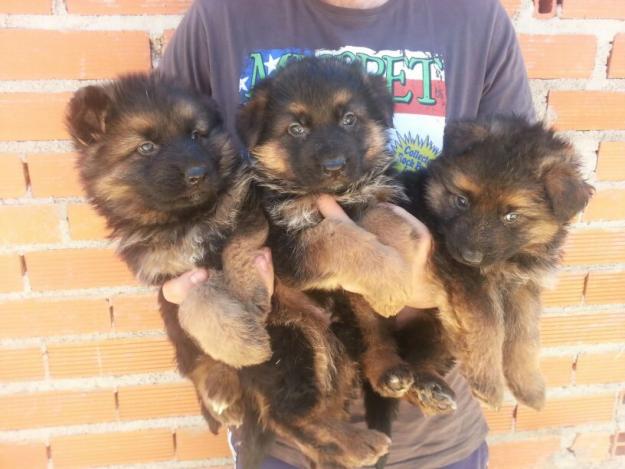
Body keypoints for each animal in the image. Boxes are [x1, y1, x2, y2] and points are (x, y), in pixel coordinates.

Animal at [400, 116, 596, 410]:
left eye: (511, 216)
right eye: (462, 201)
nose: (469, 256)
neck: (509, 261)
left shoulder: (523, 287)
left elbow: (525, 337)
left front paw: (529, 386)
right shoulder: (467, 280)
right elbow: (489, 324)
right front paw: (488, 384)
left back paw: (428, 389)